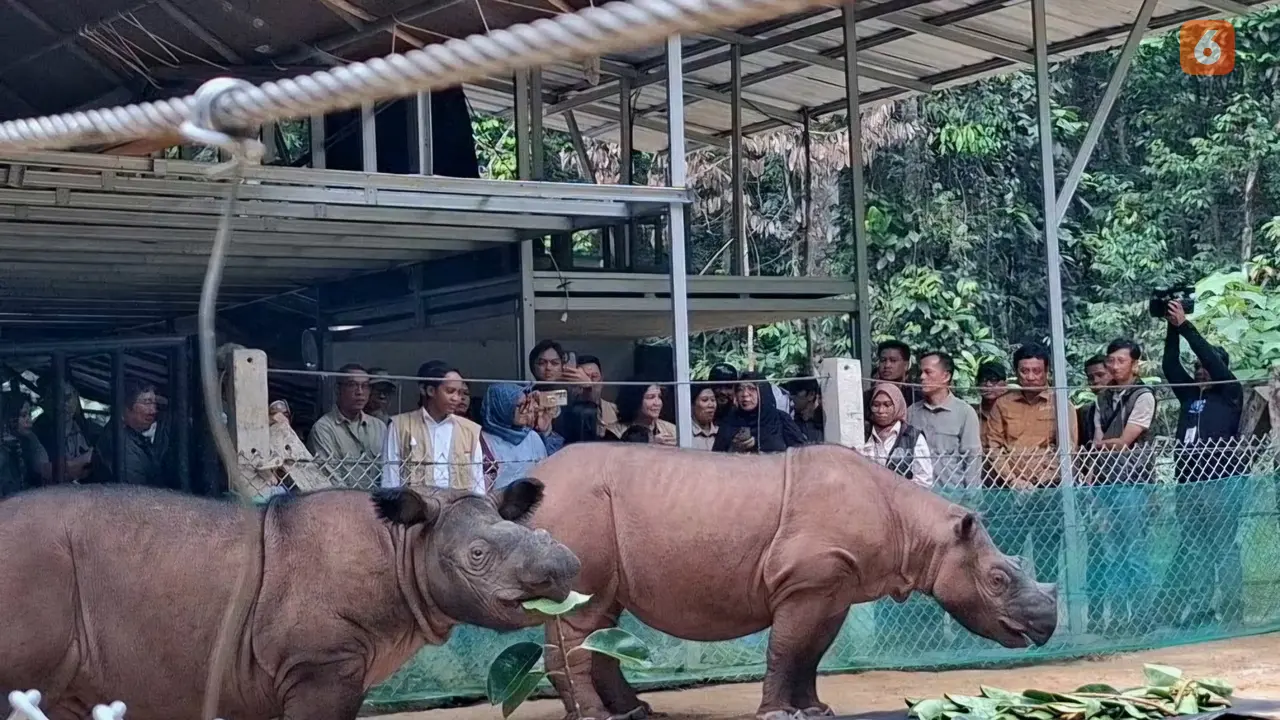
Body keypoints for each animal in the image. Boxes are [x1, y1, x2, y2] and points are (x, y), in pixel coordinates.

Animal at [524, 443, 1058, 720]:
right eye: (998, 579)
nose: (1047, 626)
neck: (919, 529)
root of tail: (534, 481)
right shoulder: (806, 582)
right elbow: (787, 646)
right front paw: (779, 714)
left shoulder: (834, 588)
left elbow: (811, 651)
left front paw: (816, 710)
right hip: (577, 510)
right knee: (584, 616)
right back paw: (596, 718)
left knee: (602, 616)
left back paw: (634, 712)